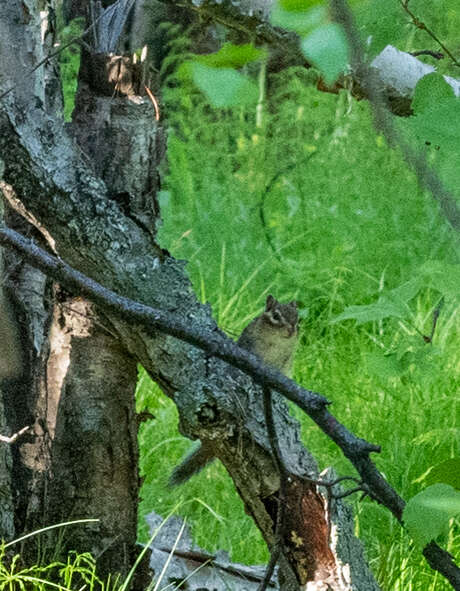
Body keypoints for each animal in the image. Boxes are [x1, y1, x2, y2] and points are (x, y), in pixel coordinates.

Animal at [169, 294, 299, 486]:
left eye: (298, 318)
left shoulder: (285, 362)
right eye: (276, 316)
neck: (277, 342)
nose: (291, 330)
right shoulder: (251, 346)